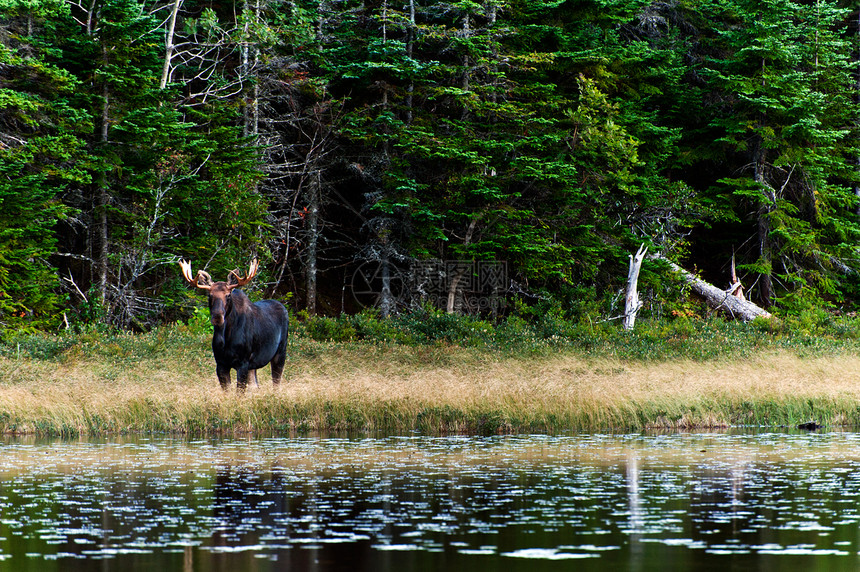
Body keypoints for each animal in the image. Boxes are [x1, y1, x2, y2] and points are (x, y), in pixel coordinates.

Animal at [180, 260, 290, 392]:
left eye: (228, 295)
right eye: (209, 295)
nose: (217, 317)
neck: (226, 337)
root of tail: (283, 307)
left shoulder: (243, 363)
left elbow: (239, 393)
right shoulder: (221, 363)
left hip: (280, 352)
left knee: (276, 383)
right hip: (254, 365)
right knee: (255, 385)